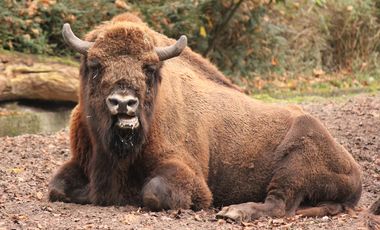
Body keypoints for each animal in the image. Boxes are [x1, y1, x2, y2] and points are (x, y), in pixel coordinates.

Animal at [49, 13, 364, 221]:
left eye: (149, 68)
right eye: (95, 65)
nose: (124, 102)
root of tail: (356, 172)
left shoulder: (187, 172)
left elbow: (155, 191)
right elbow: (57, 187)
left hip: (297, 160)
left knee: (280, 204)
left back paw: (233, 212)